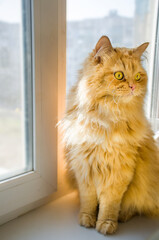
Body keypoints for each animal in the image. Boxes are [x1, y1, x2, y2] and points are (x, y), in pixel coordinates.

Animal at [61, 36, 159, 235]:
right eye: (119, 75)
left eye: (138, 76)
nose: (132, 86)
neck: (106, 119)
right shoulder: (84, 169)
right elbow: (89, 201)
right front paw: (87, 219)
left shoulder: (119, 172)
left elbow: (110, 205)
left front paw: (106, 224)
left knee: (136, 207)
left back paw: (123, 216)